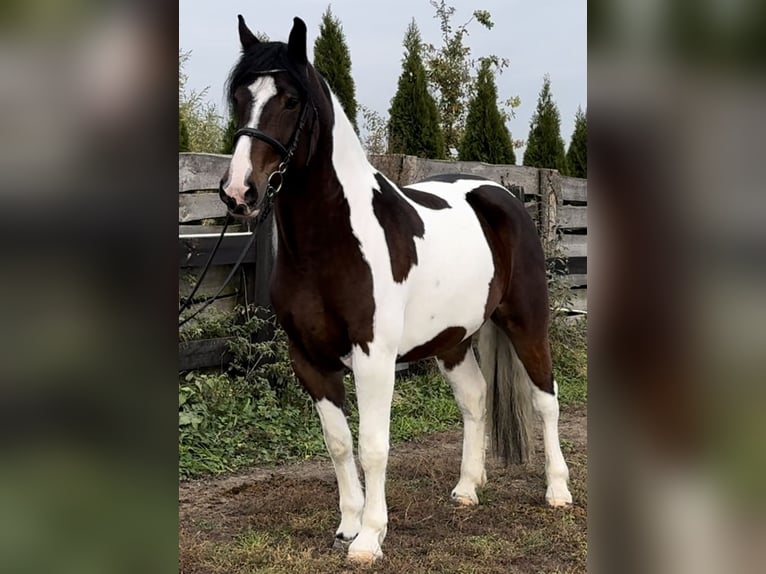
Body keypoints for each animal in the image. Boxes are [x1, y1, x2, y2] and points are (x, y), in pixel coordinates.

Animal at [219, 15, 572, 564]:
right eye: (239, 96)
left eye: (291, 100)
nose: (239, 193)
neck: (330, 242)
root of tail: (502, 194)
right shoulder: (309, 358)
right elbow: (339, 443)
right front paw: (349, 524)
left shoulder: (374, 356)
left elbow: (374, 445)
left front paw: (369, 537)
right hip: (453, 340)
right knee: (475, 399)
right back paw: (467, 489)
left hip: (526, 322)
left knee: (546, 399)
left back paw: (557, 490)